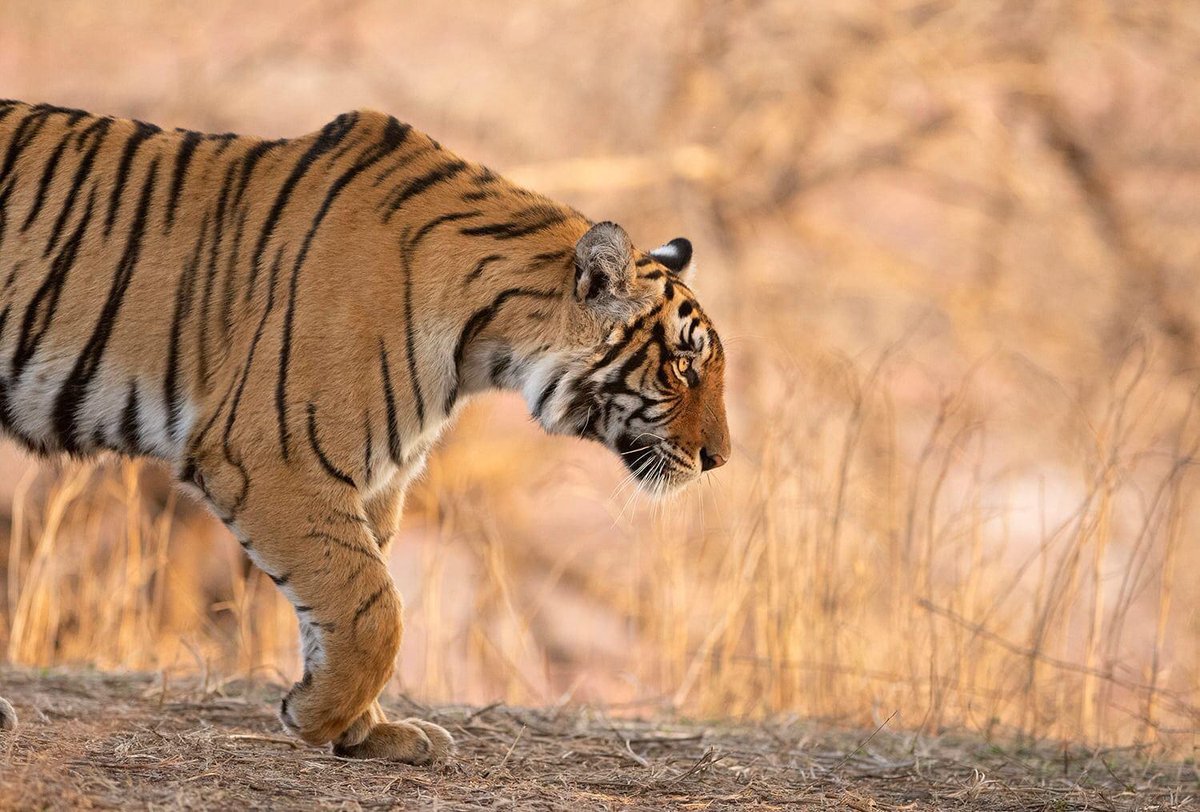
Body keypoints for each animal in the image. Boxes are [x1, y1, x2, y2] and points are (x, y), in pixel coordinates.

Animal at [0, 100, 730, 762]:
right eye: (685, 366)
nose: (719, 459)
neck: (483, 346)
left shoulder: (376, 479)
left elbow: (349, 596)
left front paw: (368, 731)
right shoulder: (272, 457)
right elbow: (374, 610)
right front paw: (316, 717)